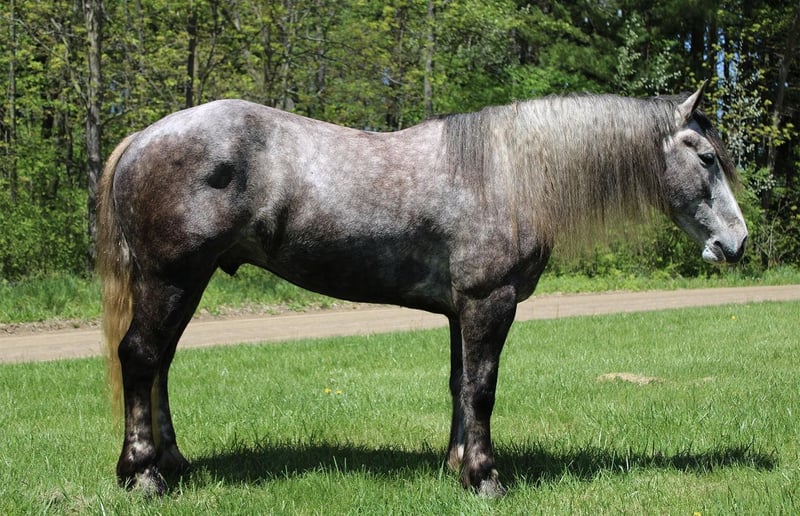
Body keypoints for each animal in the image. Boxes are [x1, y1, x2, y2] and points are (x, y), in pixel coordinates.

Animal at [97, 82, 747, 497]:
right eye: (707, 158)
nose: (736, 244)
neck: (506, 174)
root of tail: (141, 138)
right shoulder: (489, 303)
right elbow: (482, 389)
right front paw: (485, 477)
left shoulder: (461, 311)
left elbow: (460, 386)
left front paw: (457, 464)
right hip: (172, 278)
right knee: (141, 357)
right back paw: (143, 474)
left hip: (190, 282)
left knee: (161, 364)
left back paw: (173, 462)